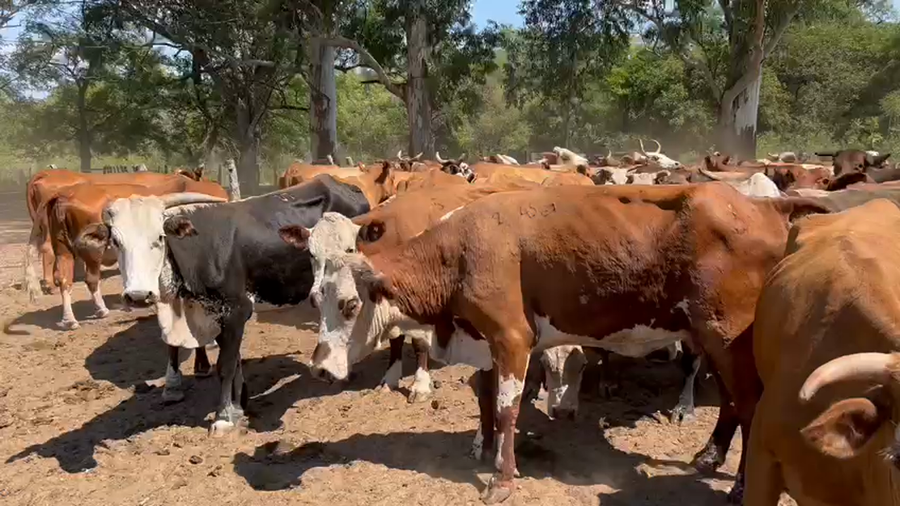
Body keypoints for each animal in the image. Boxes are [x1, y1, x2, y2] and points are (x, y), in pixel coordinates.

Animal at [23, 179, 228, 329]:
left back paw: (69, 319)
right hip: (92, 250)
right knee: (91, 279)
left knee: (64, 278)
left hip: (63, 249)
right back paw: (101, 310)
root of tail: (64, 193)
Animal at [82, 175, 371, 430]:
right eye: (116, 241)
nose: (139, 295)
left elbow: (226, 365)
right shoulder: (215, 316)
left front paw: (223, 417)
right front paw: (238, 403)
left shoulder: (236, 311)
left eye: (159, 238)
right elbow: (234, 361)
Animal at [296, 183, 831, 503]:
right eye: (314, 296)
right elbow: (485, 395)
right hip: (714, 338)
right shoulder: (487, 339)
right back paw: (711, 455)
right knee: (734, 404)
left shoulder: (513, 337)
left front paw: (502, 477)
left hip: (727, 337)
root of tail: (765, 204)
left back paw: (741, 484)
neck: (460, 251)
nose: (320, 368)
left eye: (349, 304)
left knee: (751, 406)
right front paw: (484, 446)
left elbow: (508, 406)